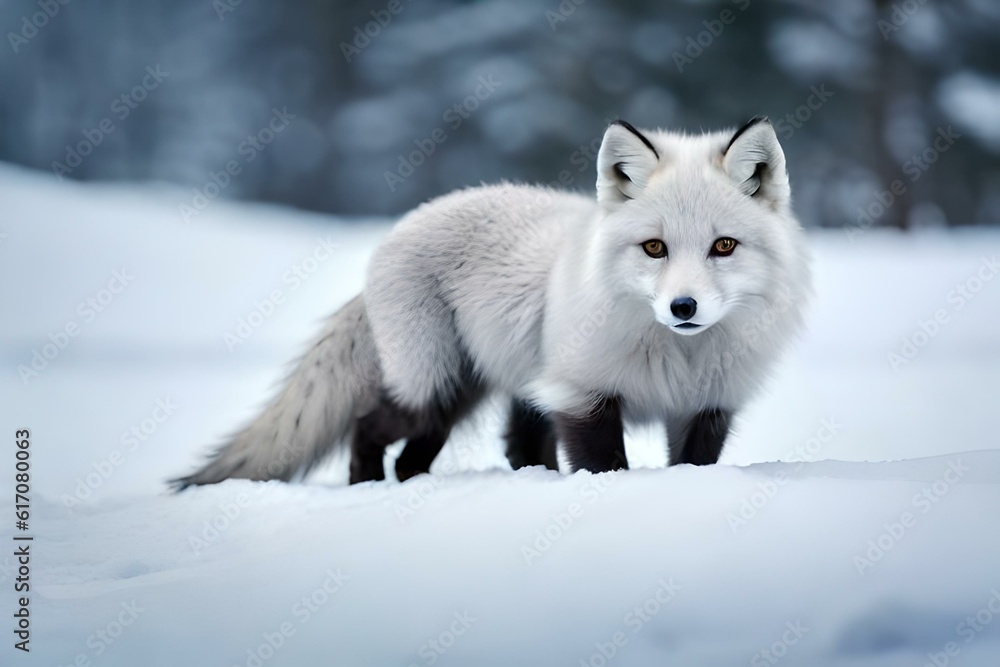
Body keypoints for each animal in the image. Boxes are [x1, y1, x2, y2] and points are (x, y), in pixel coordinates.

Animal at [172, 117, 812, 488]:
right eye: (654, 248)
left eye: (723, 246)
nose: (683, 308)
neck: (678, 359)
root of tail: (403, 225)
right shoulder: (581, 395)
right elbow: (606, 467)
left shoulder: (707, 407)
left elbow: (692, 466)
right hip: (429, 384)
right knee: (369, 425)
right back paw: (366, 486)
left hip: (468, 390)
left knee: (456, 452)